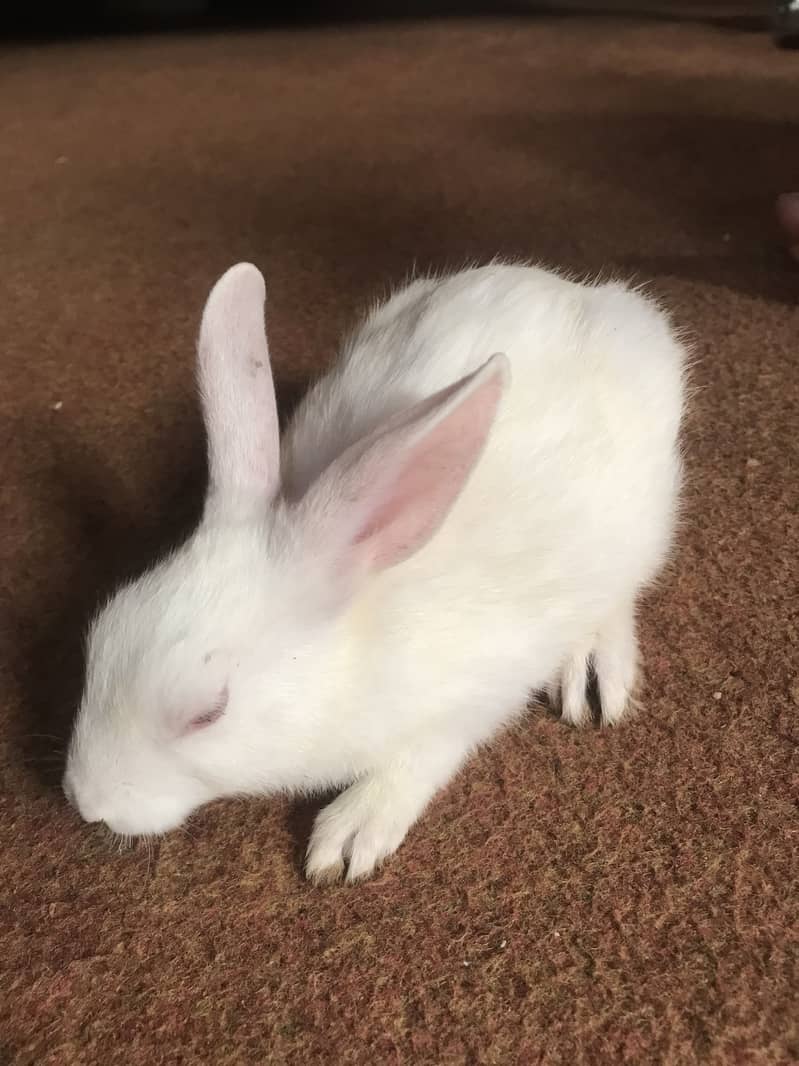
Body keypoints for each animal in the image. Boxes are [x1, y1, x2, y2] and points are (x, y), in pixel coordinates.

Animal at [63, 259, 687, 883]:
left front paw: (349, 838)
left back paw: (594, 667)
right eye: (99, 638)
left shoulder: (475, 697)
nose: (86, 801)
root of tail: (572, 291)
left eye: (207, 714)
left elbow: (420, 758)